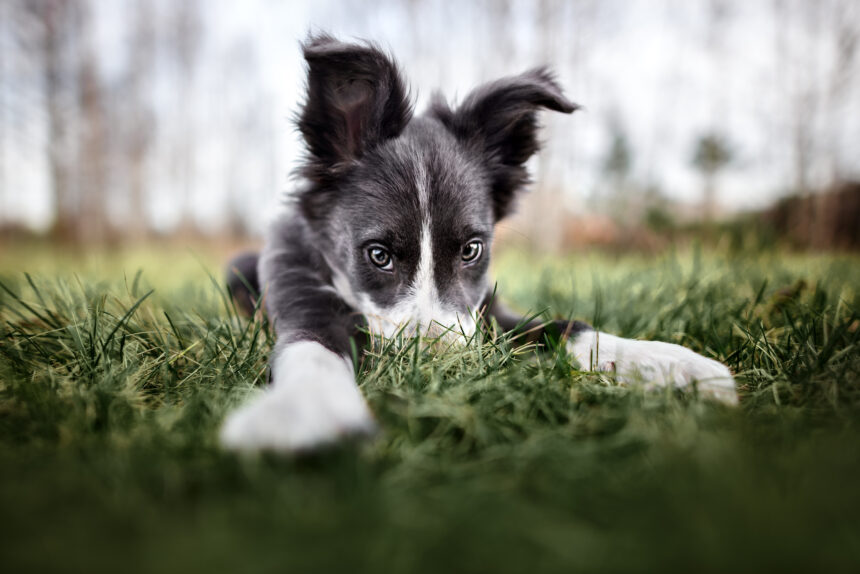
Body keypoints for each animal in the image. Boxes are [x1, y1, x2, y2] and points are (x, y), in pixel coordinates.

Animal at [218, 33, 736, 452]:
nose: (443, 369)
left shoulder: (487, 310)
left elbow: (564, 327)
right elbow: (313, 349)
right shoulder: (301, 296)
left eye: (471, 249)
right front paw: (306, 410)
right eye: (379, 255)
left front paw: (671, 363)